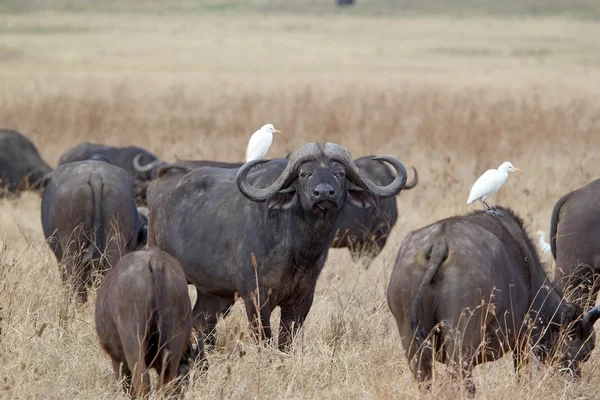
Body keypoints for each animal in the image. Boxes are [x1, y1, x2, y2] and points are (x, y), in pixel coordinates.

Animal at [94, 247, 204, 396]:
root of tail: (155, 260)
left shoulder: (116, 358)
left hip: (133, 337)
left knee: (142, 377)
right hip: (175, 337)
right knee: (167, 378)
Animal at [149, 142, 408, 348]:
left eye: (340, 173)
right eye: (304, 173)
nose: (324, 193)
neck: (297, 246)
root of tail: (159, 202)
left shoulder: (302, 299)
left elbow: (286, 341)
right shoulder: (255, 297)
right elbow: (264, 338)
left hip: (215, 293)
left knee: (201, 322)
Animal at [390, 208, 600, 396]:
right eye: (585, 353)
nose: (574, 379)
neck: (529, 274)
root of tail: (441, 242)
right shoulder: (524, 342)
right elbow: (522, 376)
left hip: (410, 338)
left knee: (425, 379)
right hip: (461, 336)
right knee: (460, 378)